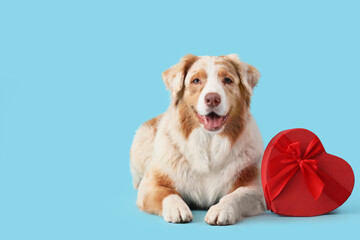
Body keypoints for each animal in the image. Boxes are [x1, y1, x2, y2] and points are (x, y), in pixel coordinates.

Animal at [131, 54, 266, 225]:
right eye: (196, 80)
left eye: (227, 80)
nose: (213, 99)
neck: (207, 143)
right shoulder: (150, 185)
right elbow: (167, 193)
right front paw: (177, 208)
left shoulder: (254, 188)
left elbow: (235, 195)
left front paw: (221, 209)